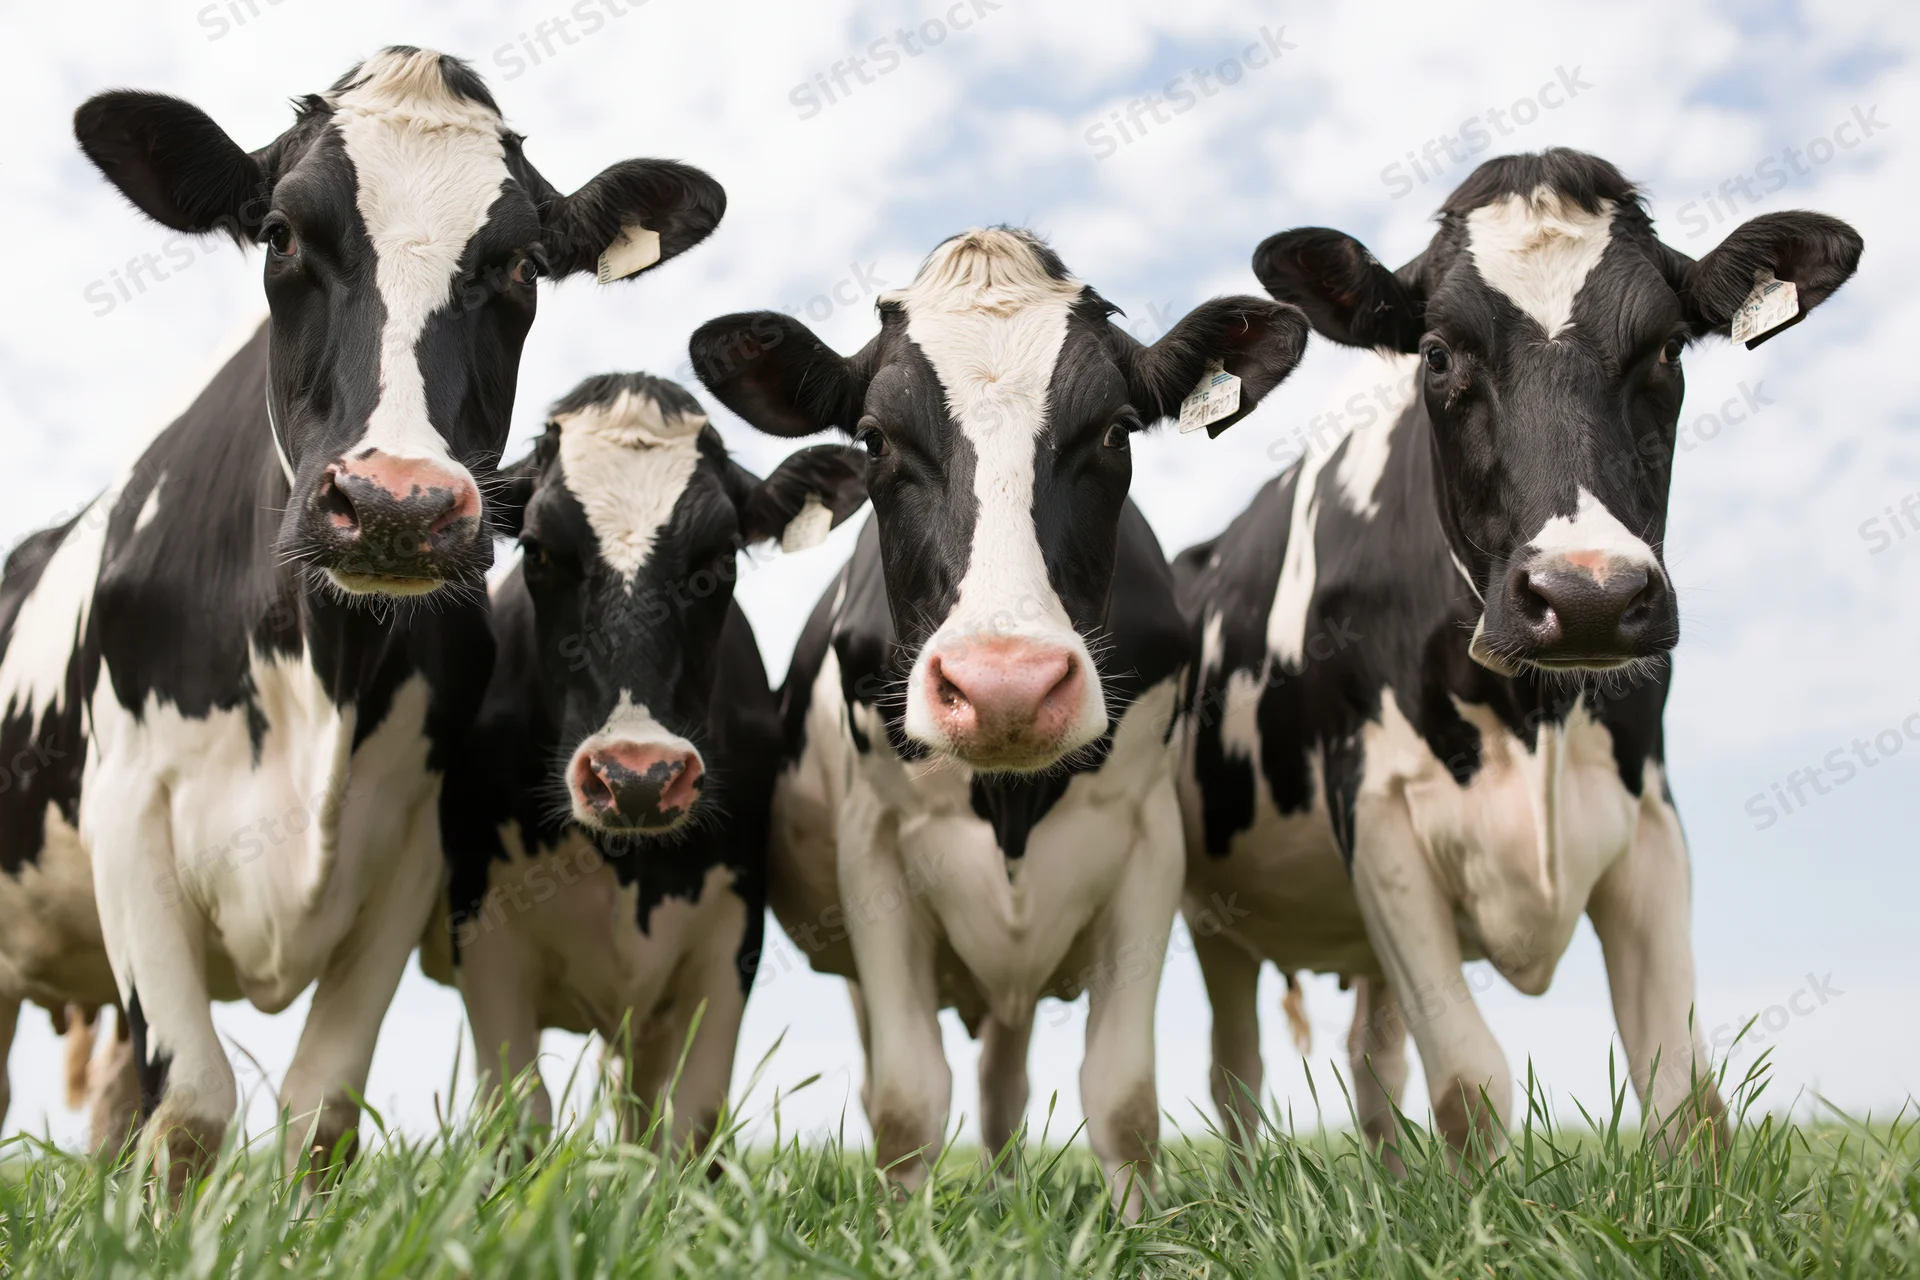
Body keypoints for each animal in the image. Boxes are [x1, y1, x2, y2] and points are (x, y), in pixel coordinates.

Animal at [0, 47, 724, 1184]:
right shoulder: (127, 814)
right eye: (280, 233)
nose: (397, 505)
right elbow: (194, 1104)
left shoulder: (413, 844)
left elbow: (320, 1106)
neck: (318, 669)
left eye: (522, 266)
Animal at [418, 371, 865, 1152]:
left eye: (721, 558)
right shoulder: (483, 936)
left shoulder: (730, 942)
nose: (636, 777)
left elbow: (689, 1125)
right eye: (537, 551)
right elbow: (518, 1121)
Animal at [689, 227, 1310, 1215]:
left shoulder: (1149, 845)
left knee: (1003, 1084)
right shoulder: (875, 849)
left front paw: (1137, 1228)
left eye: (1115, 430)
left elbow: (1121, 1095)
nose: (1006, 687)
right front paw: (902, 1229)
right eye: (876, 439)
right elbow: (906, 1098)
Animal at [1173, 149, 1862, 1165]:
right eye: (1437, 354)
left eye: (1668, 349)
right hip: (1212, 910)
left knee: (1371, 1059)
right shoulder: (1378, 814)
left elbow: (1683, 1091)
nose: (1587, 598)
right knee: (1236, 1074)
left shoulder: (1648, 816)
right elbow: (1470, 1080)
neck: (1532, 715)